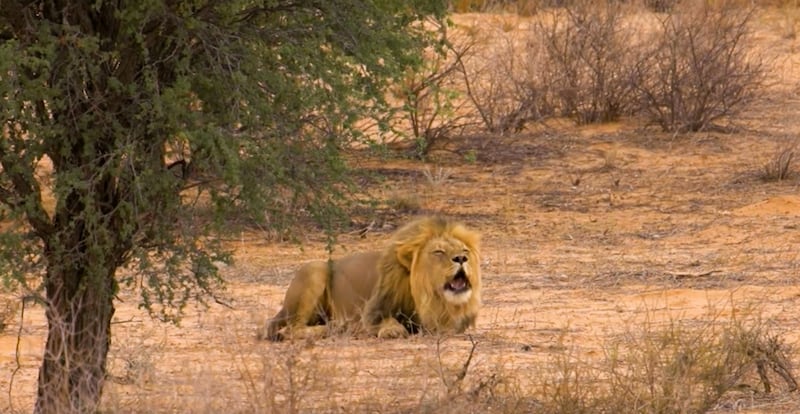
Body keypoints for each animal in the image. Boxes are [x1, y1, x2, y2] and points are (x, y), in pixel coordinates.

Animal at [259, 216, 481, 341]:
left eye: (465, 250)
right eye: (438, 252)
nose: (462, 258)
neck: (426, 296)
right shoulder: (374, 310)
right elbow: (387, 321)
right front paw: (393, 331)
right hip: (314, 270)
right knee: (293, 328)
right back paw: (333, 328)